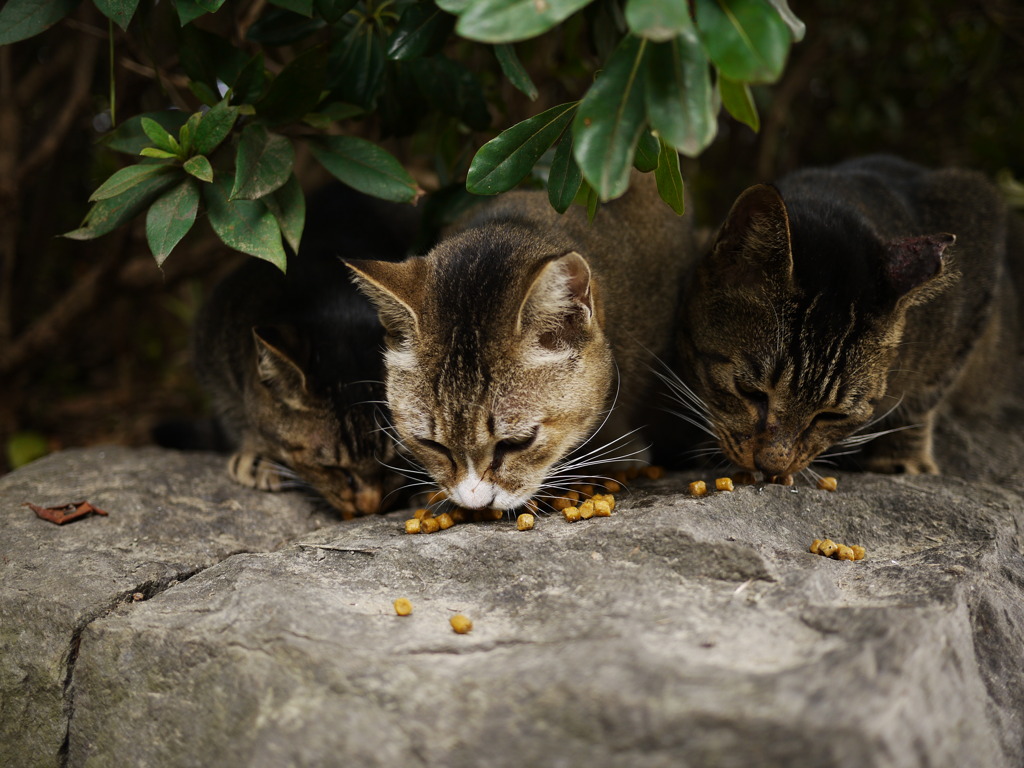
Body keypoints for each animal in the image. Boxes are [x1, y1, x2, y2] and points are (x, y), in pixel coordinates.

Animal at [192, 188, 415, 520]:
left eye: (395, 459)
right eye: (331, 468)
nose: (370, 509)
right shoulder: (212, 351)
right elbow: (235, 413)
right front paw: (257, 453)